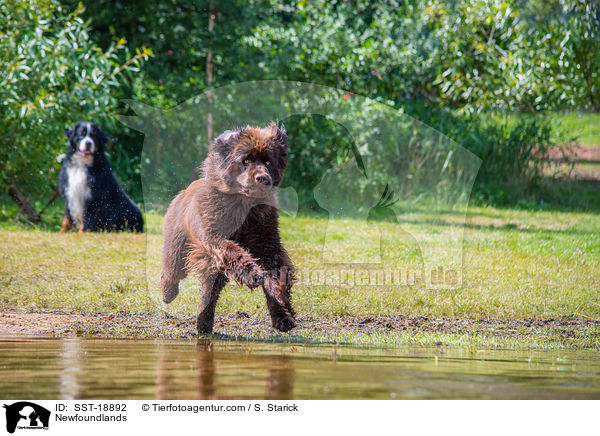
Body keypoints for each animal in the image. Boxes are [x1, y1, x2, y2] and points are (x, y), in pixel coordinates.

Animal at [161, 122, 296, 334]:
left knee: (209, 291)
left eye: (268, 162)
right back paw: (168, 294)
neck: (245, 207)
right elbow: (232, 251)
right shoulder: (214, 238)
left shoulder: (267, 243)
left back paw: (204, 323)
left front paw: (283, 315)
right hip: (177, 244)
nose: (262, 178)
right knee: (173, 270)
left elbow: (275, 278)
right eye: (246, 160)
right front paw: (252, 274)